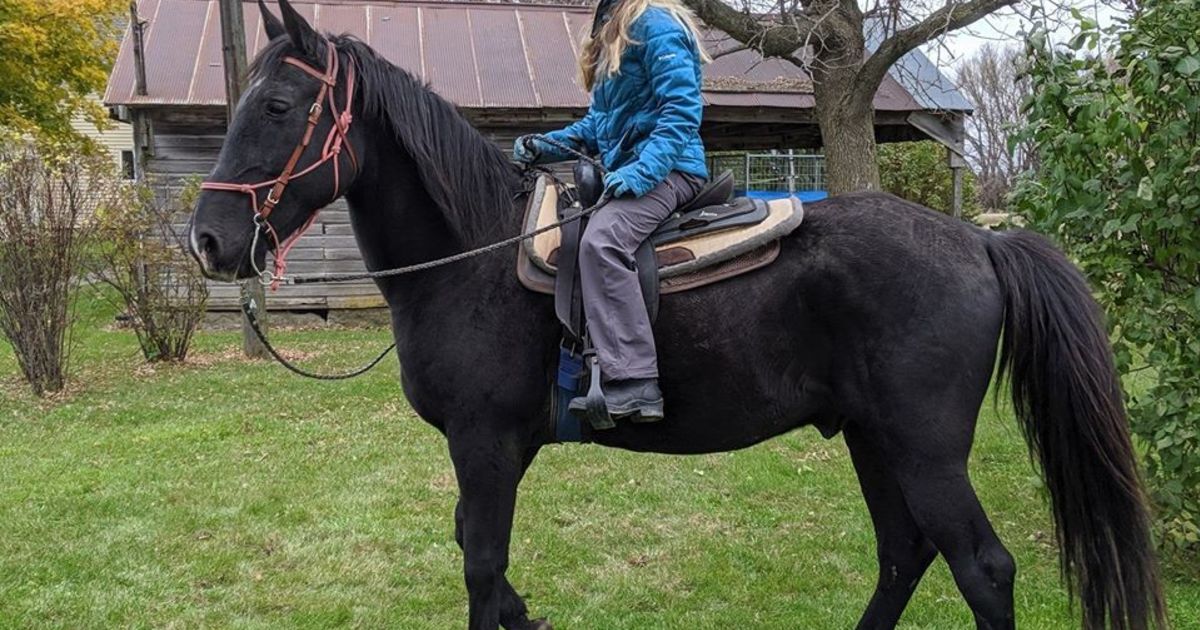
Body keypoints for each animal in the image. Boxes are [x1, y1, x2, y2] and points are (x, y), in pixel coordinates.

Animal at [187, 2, 1165, 629]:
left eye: (278, 106)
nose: (207, 238)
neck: (473, 255)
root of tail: (979, 243)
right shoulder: (490, 453)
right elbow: (486, 566)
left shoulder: (485, 445)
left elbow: (480, 565)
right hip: (872, 438)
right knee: (902, 554)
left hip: (924, 449)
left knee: (982, 569)